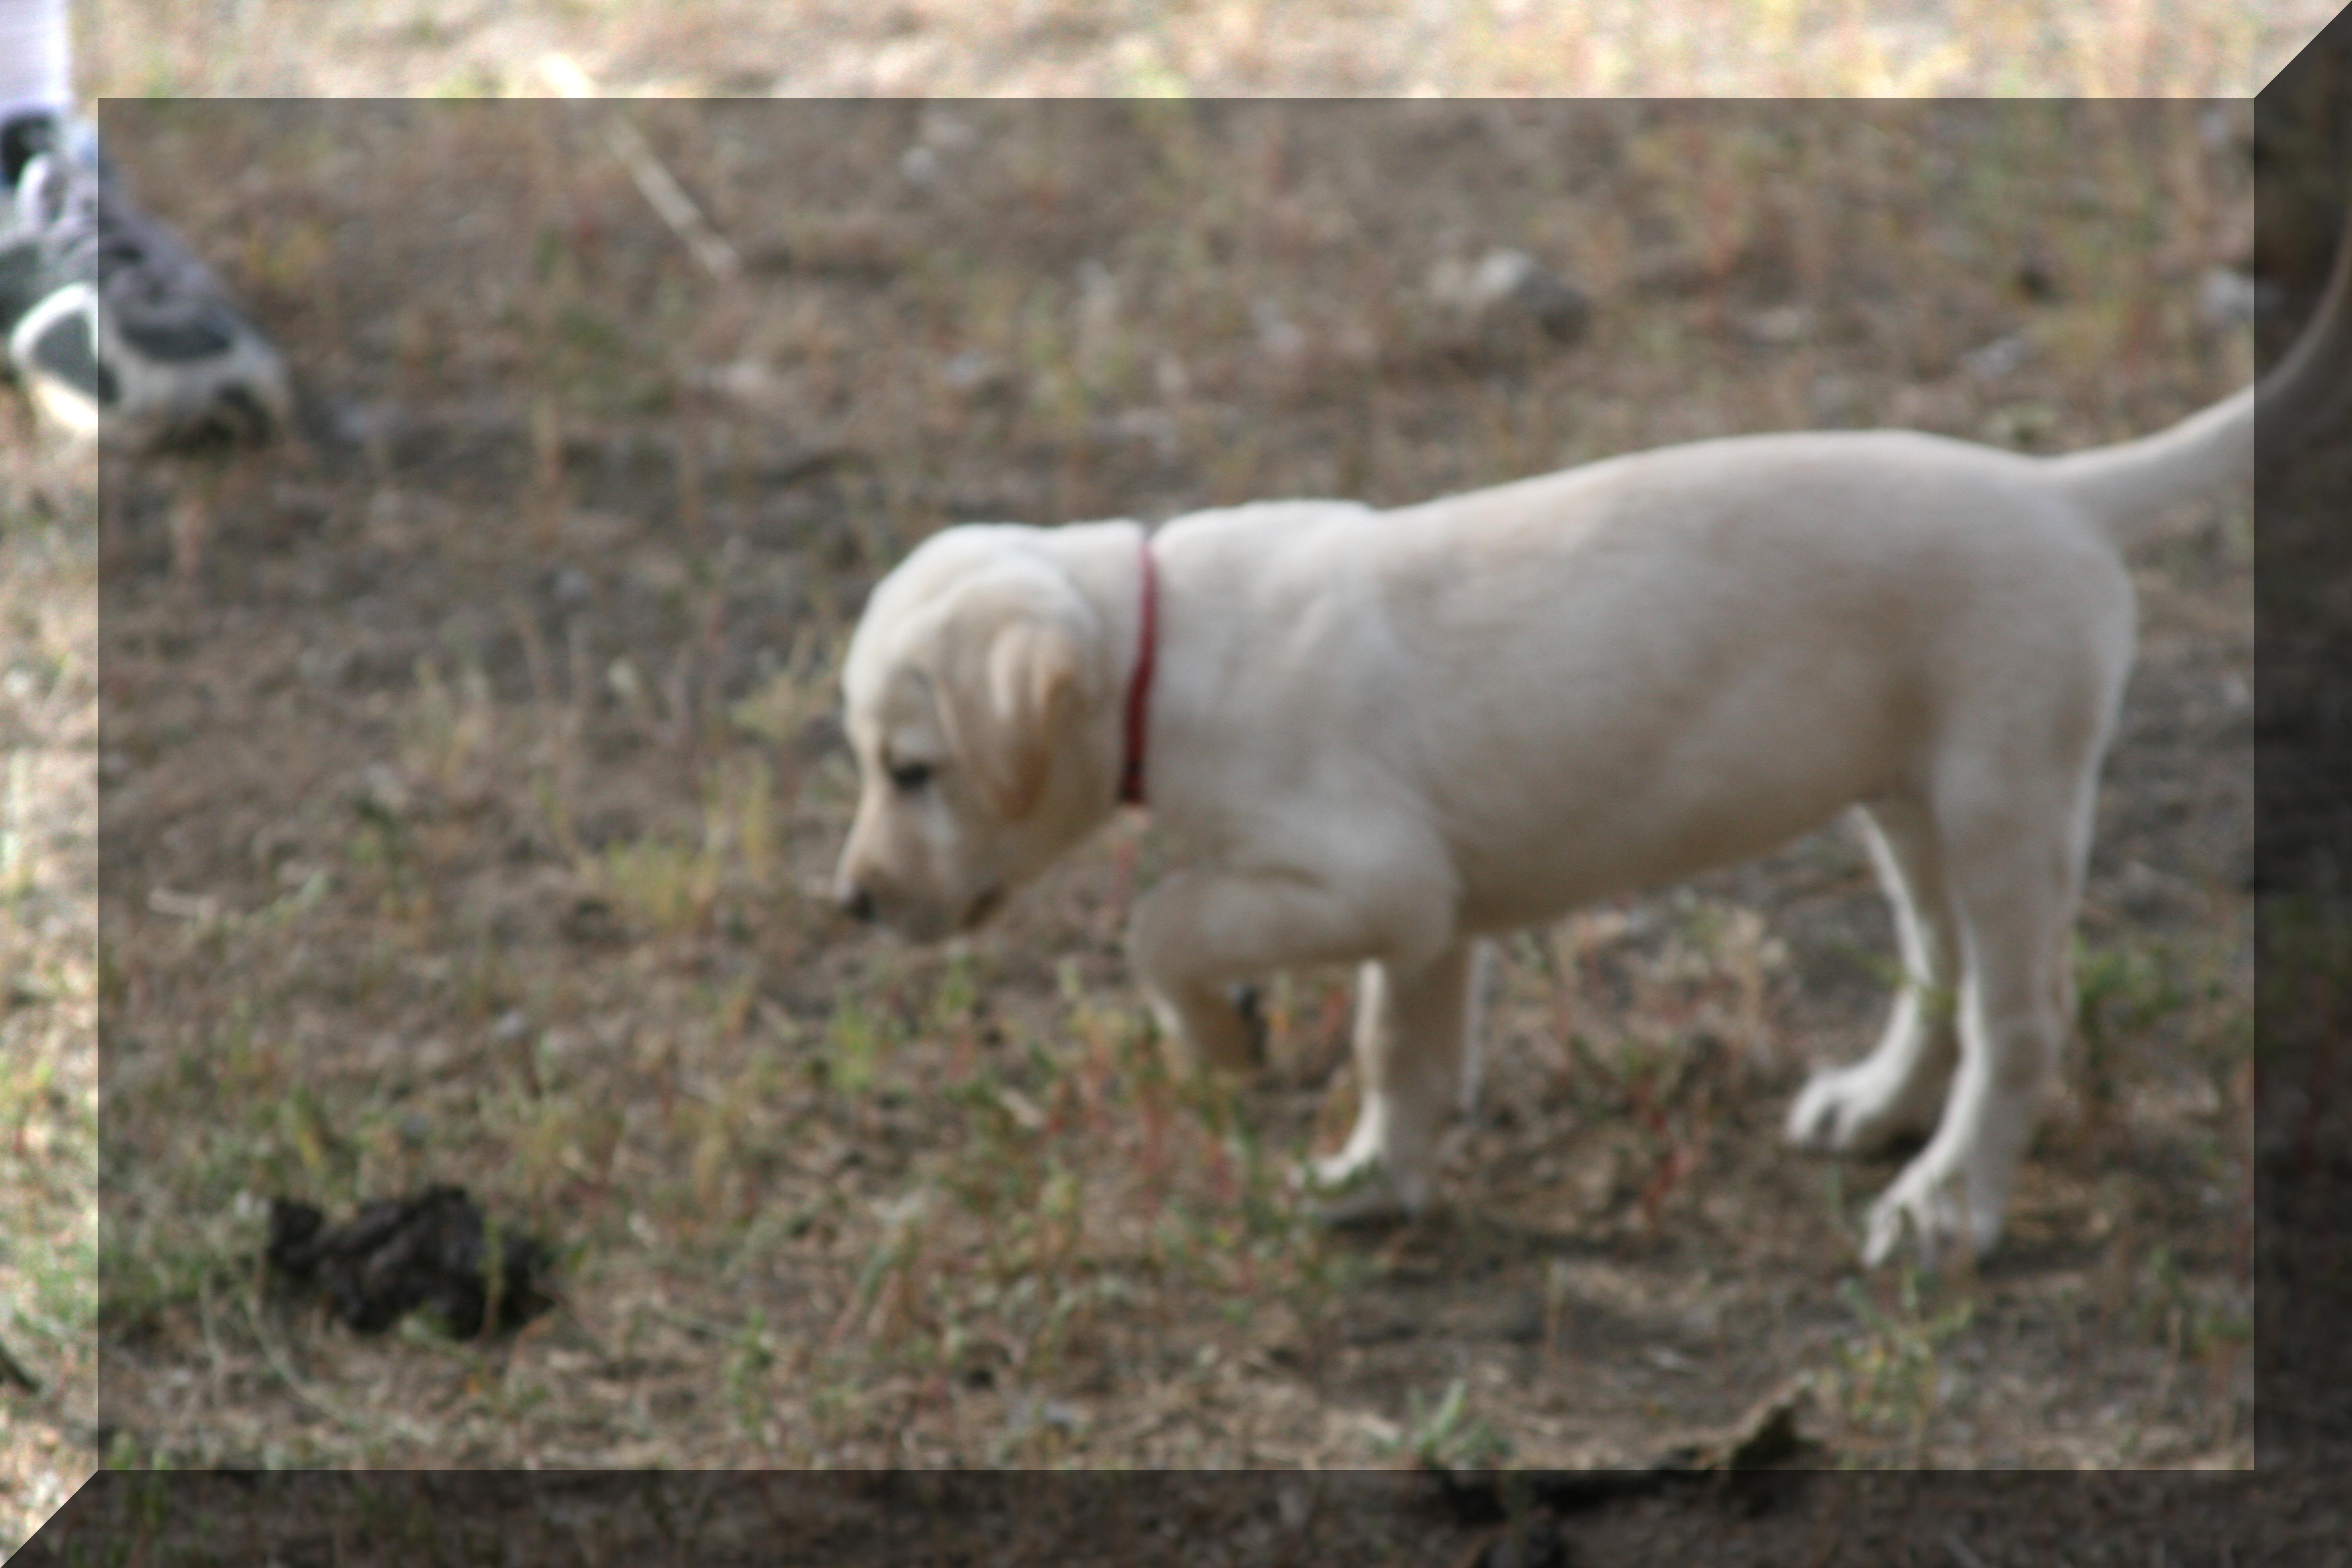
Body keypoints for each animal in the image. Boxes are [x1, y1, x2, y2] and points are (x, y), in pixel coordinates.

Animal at [837, 236, 2342, 1260]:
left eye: (911, 769)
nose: (847, 904)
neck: (1163, 645)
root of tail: (2059, 491)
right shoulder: (1427, 914)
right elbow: (1399, 1045)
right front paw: (1373, 1182)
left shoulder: (1371, 876)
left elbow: (1162, 925)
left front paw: (1225, 1039)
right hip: (1909, 806)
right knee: (1939, 969)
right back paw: (1874, 1109)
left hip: (2003, 797)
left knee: (2020, 1018)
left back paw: (1945, 1206)